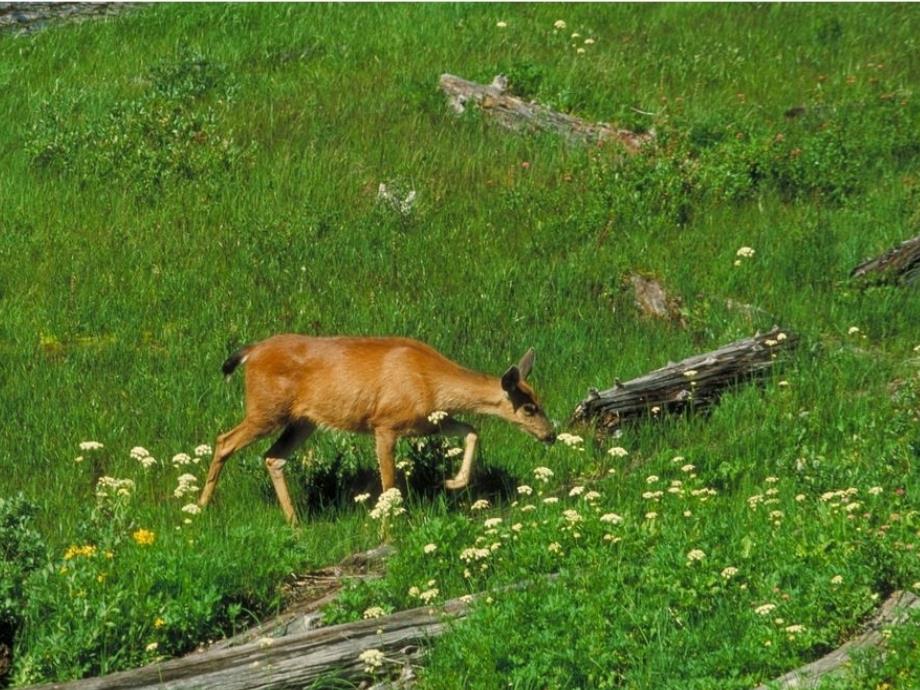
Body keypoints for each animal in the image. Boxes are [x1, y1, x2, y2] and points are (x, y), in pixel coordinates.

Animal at [199, 334, 556, 520]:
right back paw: (200, 509)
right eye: (529, 408)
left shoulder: (425, 423)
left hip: (303, 421)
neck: (431, 381)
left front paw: (453, 482)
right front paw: (389, 532)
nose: (551, 434)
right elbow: (389, 485)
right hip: (266, 408)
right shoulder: (385, 423)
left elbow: (471, 430)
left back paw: (295, 522)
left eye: (539, 398)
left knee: (273, 457)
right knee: (224, 440)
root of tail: (250, 352)